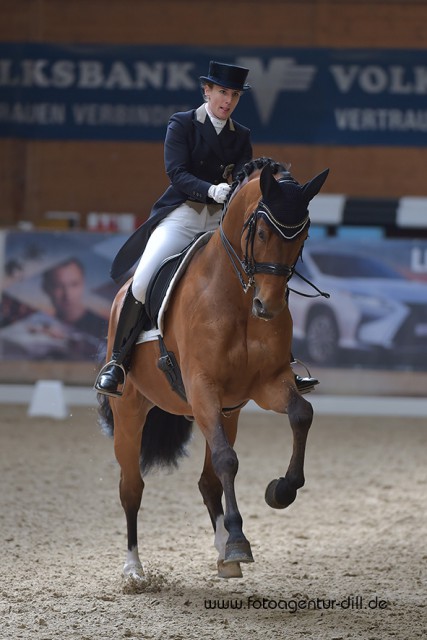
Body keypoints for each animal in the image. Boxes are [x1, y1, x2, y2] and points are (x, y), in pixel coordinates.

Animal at [98, 156, 332, 584]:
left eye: (303, 235)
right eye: (260, 231)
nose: (269, 307)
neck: (237, 297)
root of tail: (120, 294)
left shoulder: (266, 384)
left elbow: (301, 414)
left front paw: (281, 491)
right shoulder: (201, 387)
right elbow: (228, 460)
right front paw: (239, 537)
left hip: (228, 413)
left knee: (207, 482)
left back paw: (225, 552)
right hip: (131, 412)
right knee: (131, 487)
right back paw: (135, 569)